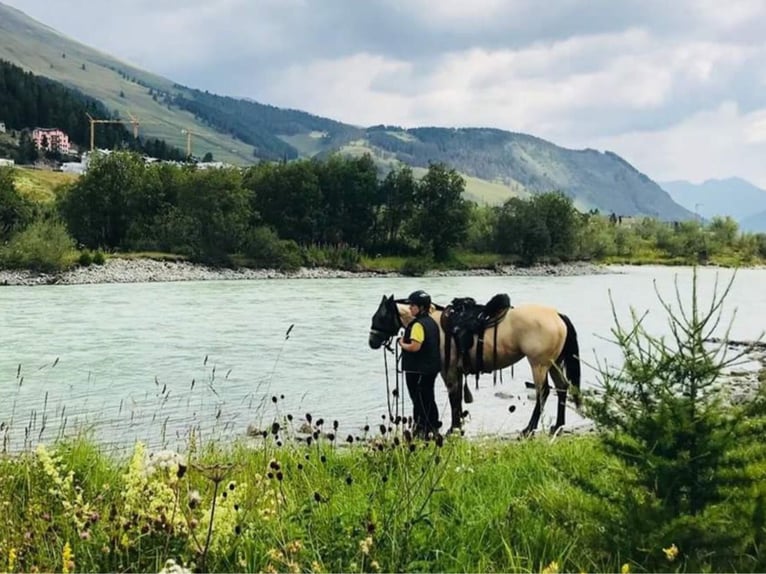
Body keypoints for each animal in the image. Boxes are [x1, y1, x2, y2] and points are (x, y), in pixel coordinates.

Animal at [370, 296, 584, 436]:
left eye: (380, 316)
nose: (372, 342)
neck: (436, 325)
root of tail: (557, 315)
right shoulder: (455, 372)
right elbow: (457, 398)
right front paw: (456, 426)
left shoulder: (448, 371)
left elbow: (453, 397)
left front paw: (453, 428)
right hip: (554, 363)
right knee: (562, 387)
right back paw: (558, 425)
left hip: (539, 364)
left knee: (543, 392)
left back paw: (529, 429)